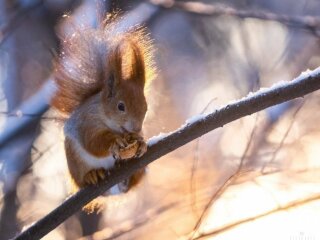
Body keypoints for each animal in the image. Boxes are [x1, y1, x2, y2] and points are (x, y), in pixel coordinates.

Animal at [51, 16, 155, 210]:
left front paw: (141, 141)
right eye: (120, 106)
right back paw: (92, 175)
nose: (136, 128)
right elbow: (93, 142)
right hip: (75, 161)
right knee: (82, 178)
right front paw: (115, 142)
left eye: (146, 107)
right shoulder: (87, 123)